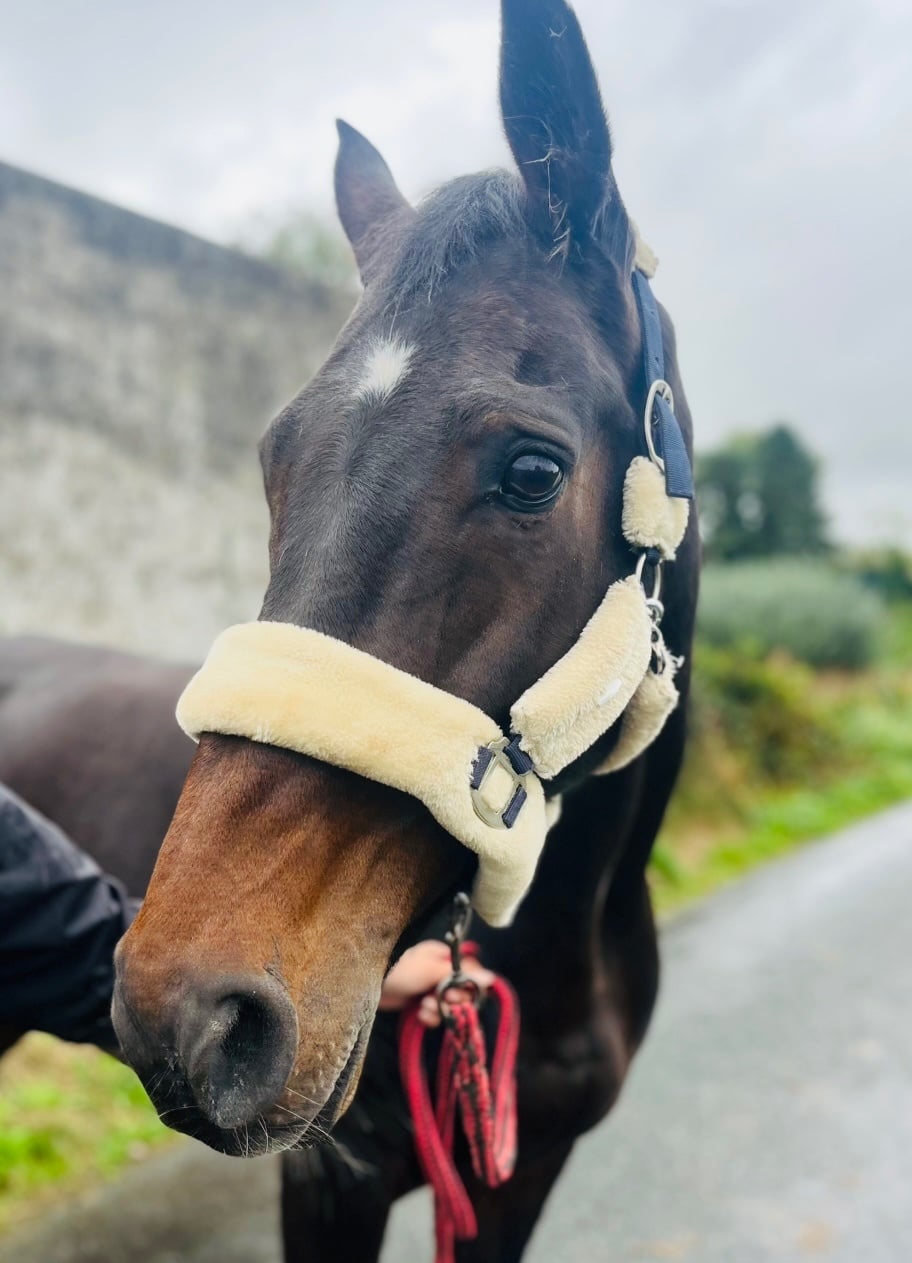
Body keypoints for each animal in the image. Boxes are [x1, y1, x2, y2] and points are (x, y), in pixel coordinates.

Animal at [2, 1, 699, 1257]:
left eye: (534, 470)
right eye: (274, 460)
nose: (189, 1012)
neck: (557, 941)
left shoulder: (520, 1177)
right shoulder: (335, 1180)